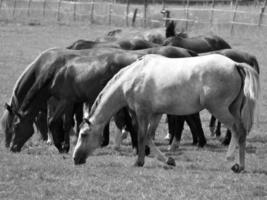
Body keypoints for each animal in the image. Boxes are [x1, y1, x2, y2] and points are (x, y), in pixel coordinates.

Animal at [1, 46, 199, 152]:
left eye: (14, 126)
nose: (11, 147)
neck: (54, 70)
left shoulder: (65, 100)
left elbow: (55, 121)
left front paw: (61, 145)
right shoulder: (72, 101)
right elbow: (67, 122)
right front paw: (66, 144)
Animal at [73, 54, 260, 173]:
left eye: (83, 134)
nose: (75, 158)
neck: (132, 77)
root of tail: (235, 65)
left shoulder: (142, 113)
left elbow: (141, 136)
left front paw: (139, 161)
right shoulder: (156, 113)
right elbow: (149, 136)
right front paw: (169, 160)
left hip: (219, 109)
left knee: (238, 130)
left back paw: (237, 164)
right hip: (232, 109)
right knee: (238, 131)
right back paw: (234, 161)